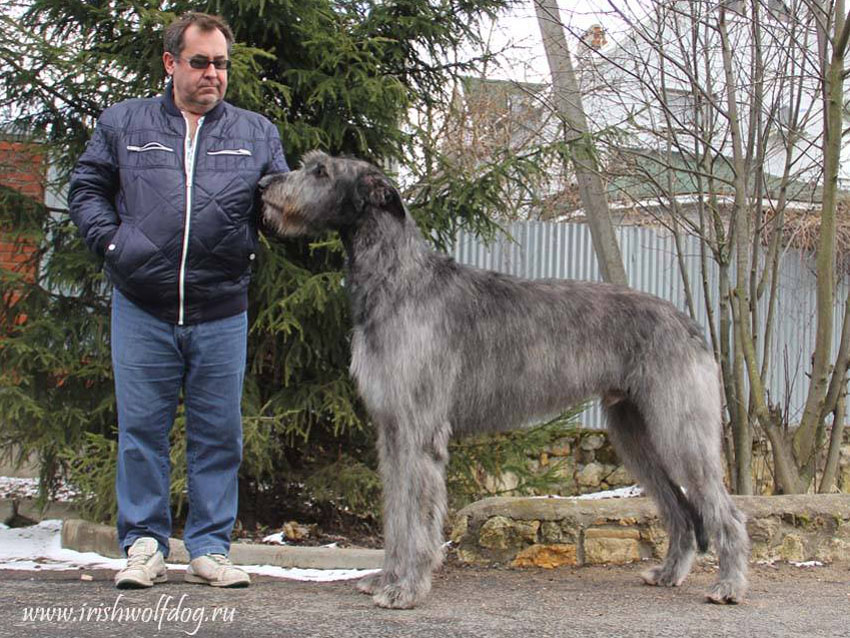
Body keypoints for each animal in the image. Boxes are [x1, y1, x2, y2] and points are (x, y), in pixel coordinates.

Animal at [260, 152, 748, 612]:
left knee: (725, 510)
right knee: (680, 510)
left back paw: (728, 585)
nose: (264, 184)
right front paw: (386, 579)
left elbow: (417, 515)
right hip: (634, 431)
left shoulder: (419, 429)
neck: (399, 279)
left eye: (320, 171)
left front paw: (407, 589)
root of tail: (691, 325)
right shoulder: (392, 430)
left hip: (680, 427)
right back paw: (669, 573)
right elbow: (396, 512)